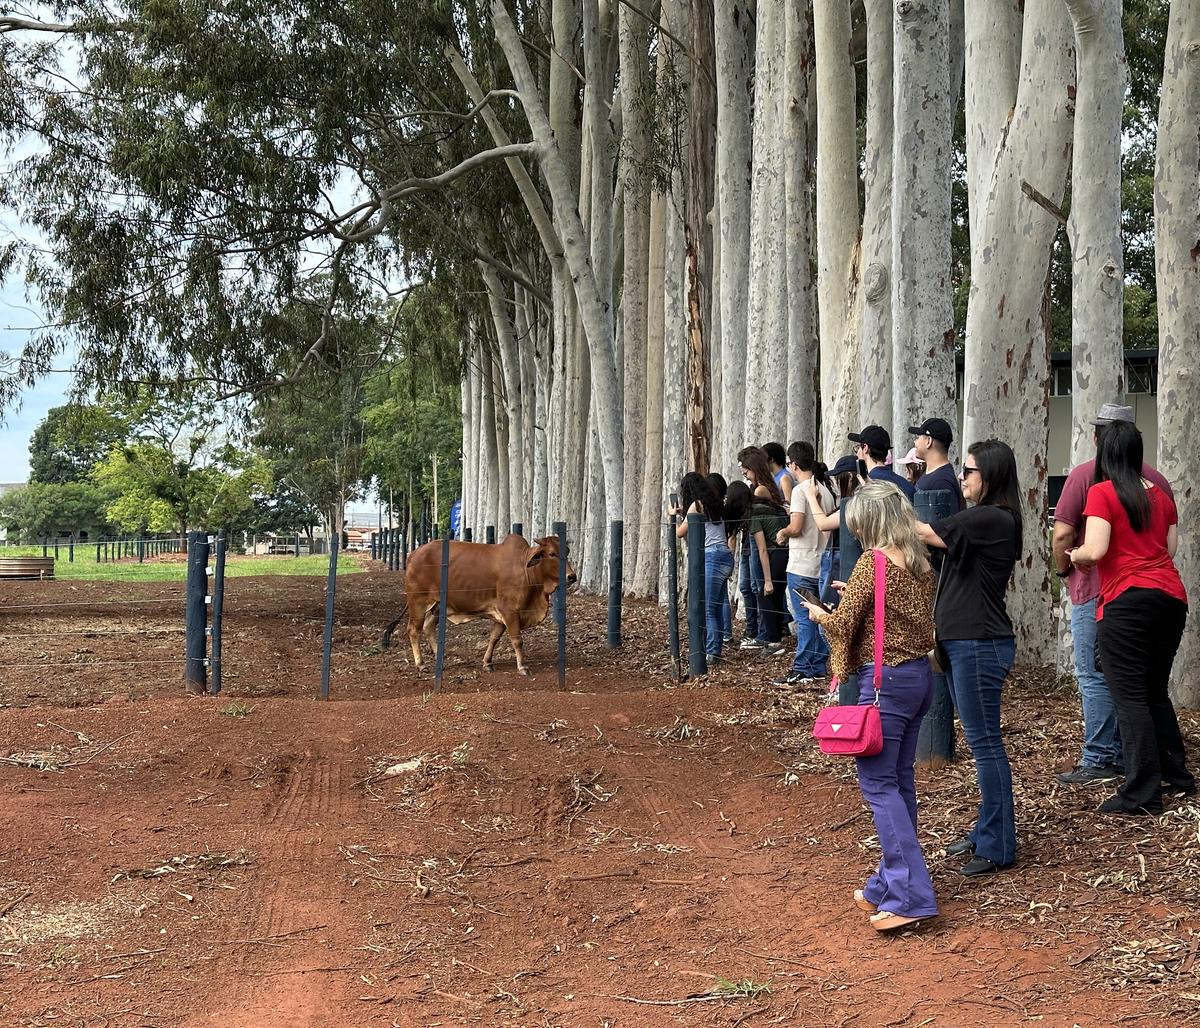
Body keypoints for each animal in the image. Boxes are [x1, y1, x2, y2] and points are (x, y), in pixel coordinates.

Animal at [381, 532, 573, 676]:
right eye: (552, 554)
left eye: (567, 551)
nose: (572, 576)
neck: (526, 570)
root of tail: (412, 554)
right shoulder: (509, 611)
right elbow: (517, 640)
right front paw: (522, 667)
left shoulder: (500, 615)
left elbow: (494, 638)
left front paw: (487, 663)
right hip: (418, 602)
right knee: (414, 630)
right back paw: (421, 664)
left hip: (438, 606)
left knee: (428, 627)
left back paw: (440, 660)